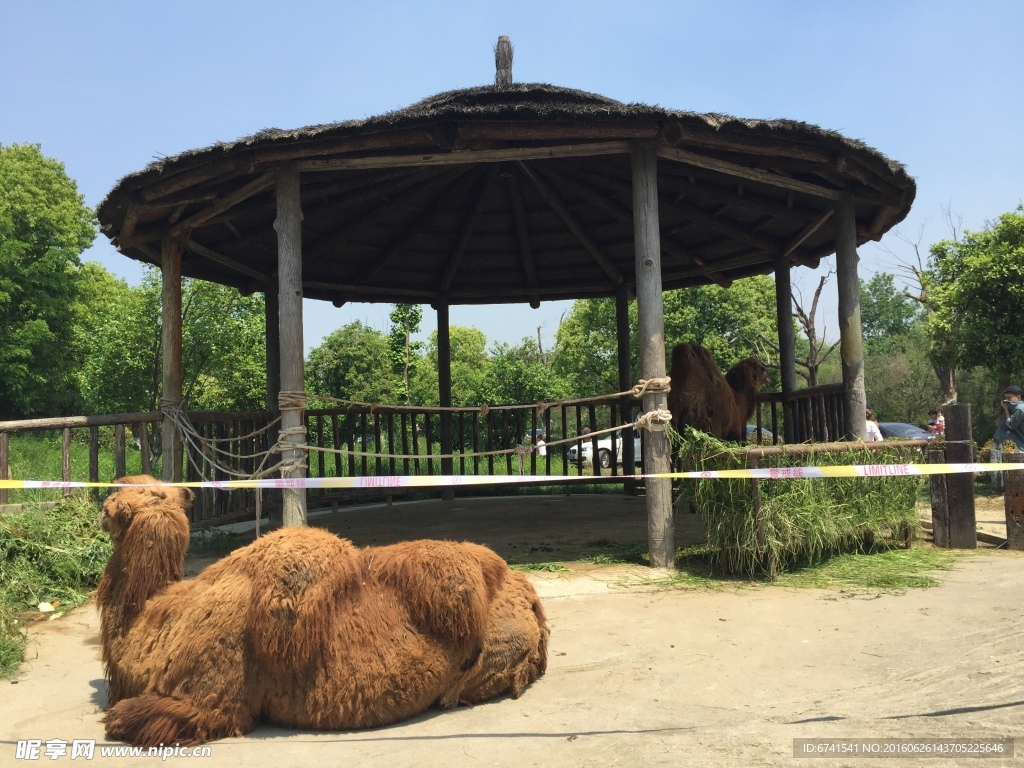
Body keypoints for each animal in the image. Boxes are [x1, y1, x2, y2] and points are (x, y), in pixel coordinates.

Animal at [96, 479, 548, 749]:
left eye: (137, 494)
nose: (104, 506)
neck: (155, 616)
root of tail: (531, 600)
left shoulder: (209, 702)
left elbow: (123, 718)